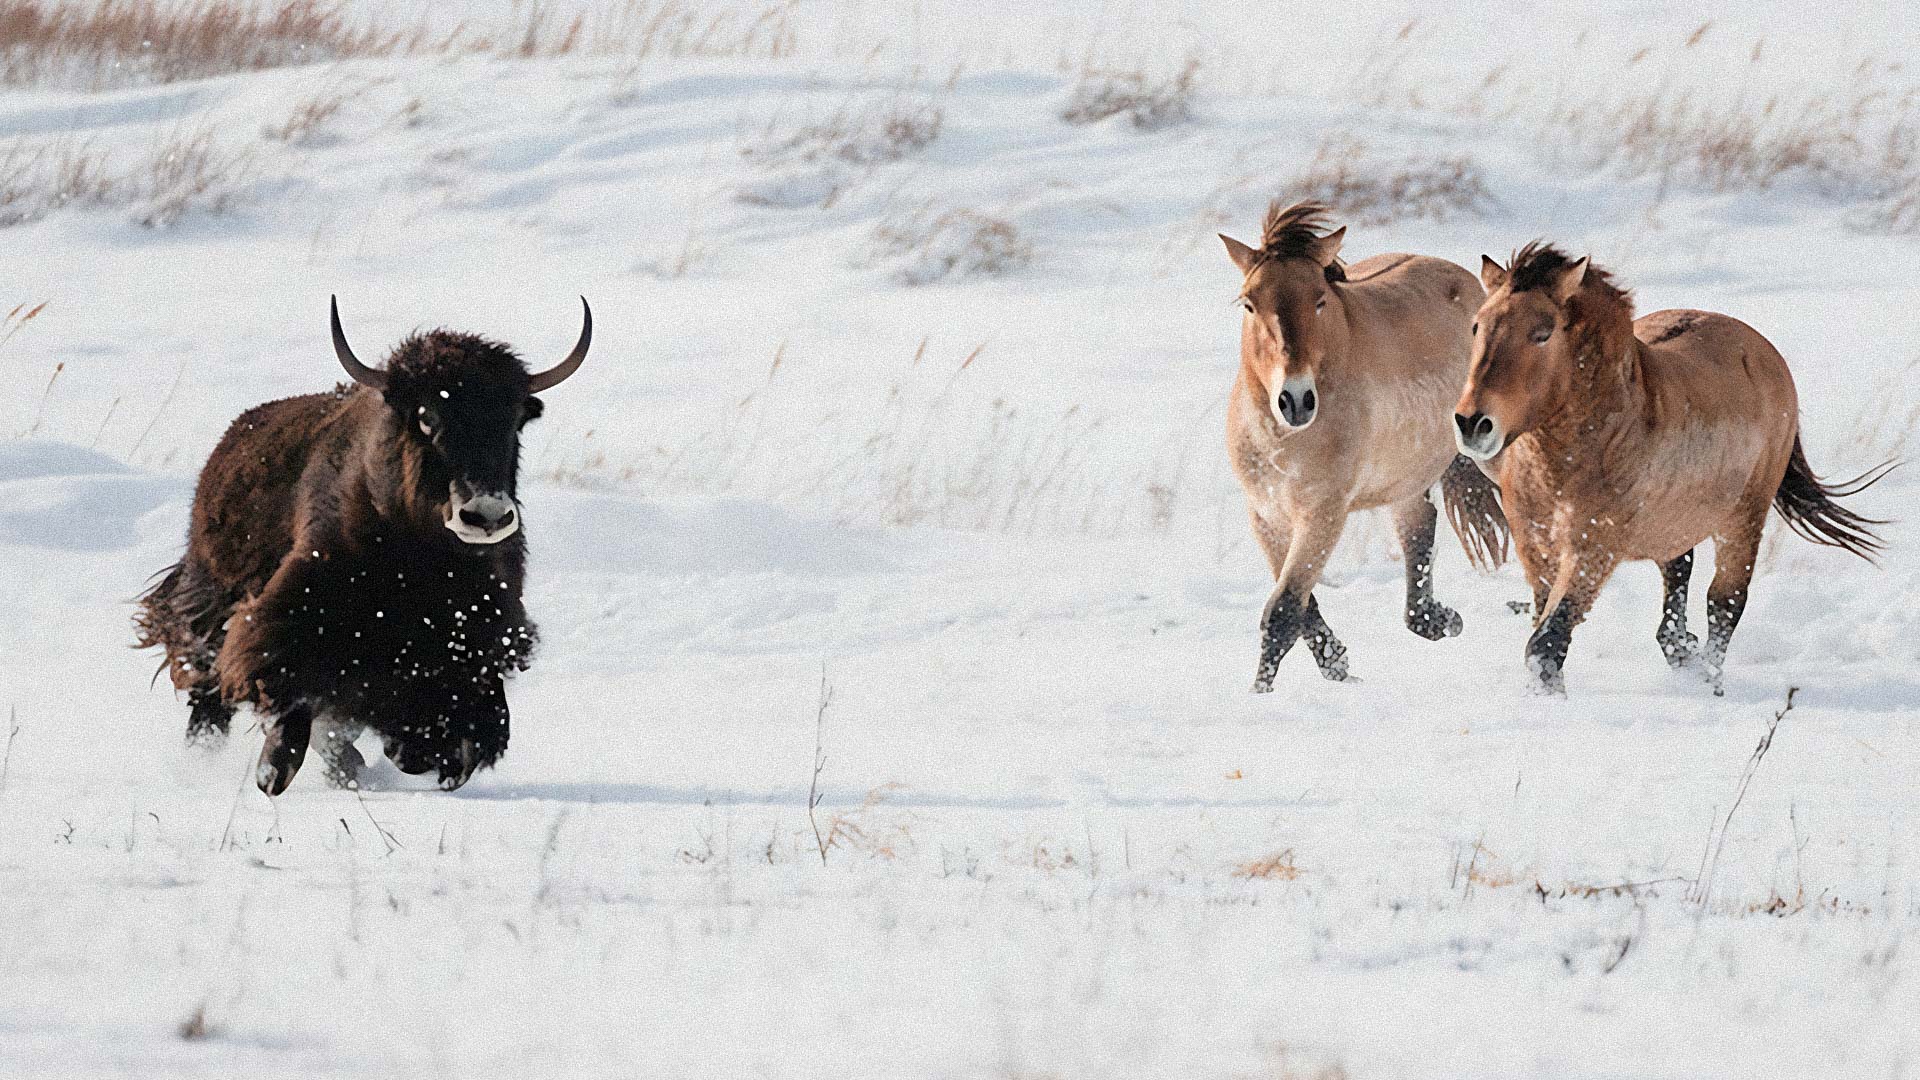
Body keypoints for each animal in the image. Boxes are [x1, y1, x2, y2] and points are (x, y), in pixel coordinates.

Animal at [1221, 202, 1507, 693]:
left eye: (1319, 299)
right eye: (1249, 303)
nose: (1295, 400)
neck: (1282, 440)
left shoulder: (1323, 514)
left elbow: (1282, 613)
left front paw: (1261, 694)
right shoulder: (1267, 516)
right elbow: (1301, 608)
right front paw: (1337, 664)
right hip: (1406, 481)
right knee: (1420, 535)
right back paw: (1442, 620)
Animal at [1454, 243, 1890, 694]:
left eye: (1542, 334)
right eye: (1477, 326)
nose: (1472, 423)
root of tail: (1765, 352)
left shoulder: (1593, 549)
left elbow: (1547, 641)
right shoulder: (1535, 548)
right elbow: (1543, 629)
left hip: (1743, 518)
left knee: (1724, 602)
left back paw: (1710, 683)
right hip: (1677, 525)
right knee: (1678, 583)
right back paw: (1686, 654)